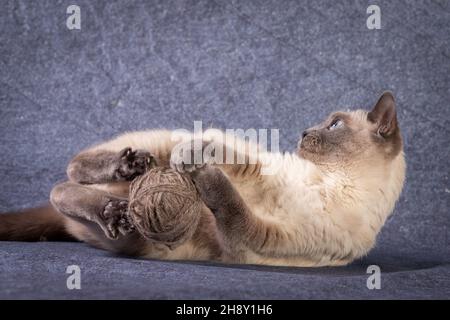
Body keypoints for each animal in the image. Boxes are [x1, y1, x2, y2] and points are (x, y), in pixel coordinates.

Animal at [0, 91, 406, 266]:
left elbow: (230, 201)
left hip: (137, 239)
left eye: (334, 124)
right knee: (70, 173)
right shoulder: (258, 165)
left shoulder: (255, 240)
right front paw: (196, 155)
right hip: (157, 142)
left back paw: (115, 210)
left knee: (63, 191)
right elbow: (232, 158)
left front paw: (201, 172)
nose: (304, 133)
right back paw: (128, 168)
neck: (327, 181)